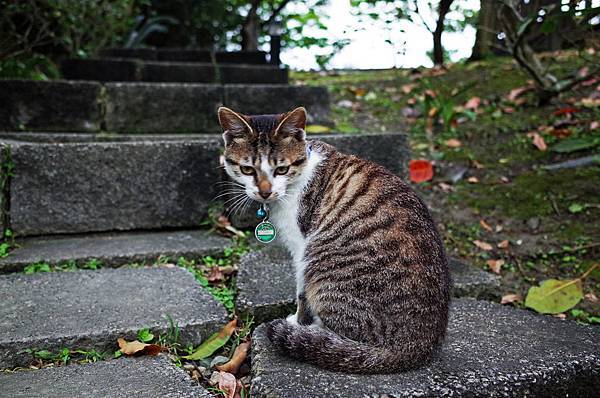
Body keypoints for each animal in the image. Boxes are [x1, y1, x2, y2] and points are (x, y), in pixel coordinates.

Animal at [219, 105, 450, 374]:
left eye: (281, 170)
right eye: (247, 169)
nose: (265, 192)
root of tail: (416, 346)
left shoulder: (302, 249)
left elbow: (302, 292)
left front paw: (298, 321)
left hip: (322, 262)